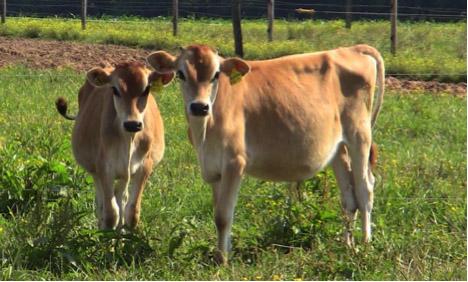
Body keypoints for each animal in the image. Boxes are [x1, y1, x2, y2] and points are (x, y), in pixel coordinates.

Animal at [56, 61, 174, 229]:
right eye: (115, 89)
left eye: (147, 89)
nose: (132, 124)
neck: (128, 139)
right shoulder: (104, 168)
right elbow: (111, 214)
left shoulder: (145, 166)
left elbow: (132, 213)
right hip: (95, 171)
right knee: (102, 204)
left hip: (125, 173)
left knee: (121, 198)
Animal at [146, 43, 384, 262]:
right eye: (181, 74)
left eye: (216, 75)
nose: (199, 107)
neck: (205, 132)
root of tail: (351, 49)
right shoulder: (213, 169)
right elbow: (218, 212)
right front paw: (223, 252)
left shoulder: (234, 162)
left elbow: (223, 216)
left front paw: (222, 260)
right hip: (338, 147)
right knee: (349, 197)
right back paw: (347, 244)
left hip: (359, 135)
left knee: (365, 189)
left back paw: (365, 244)